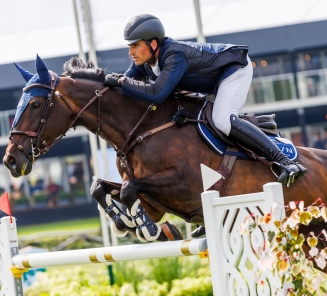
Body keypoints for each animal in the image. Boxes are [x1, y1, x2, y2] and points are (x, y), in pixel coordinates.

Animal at [2, 55, 327, 243]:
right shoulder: (155, 200)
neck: (141, 129)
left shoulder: (188, 186)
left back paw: (289, 168)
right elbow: (100, 187)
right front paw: (125, 222)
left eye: (35, 104)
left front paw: (146, 228)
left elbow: (129, 189)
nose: (10, 160)